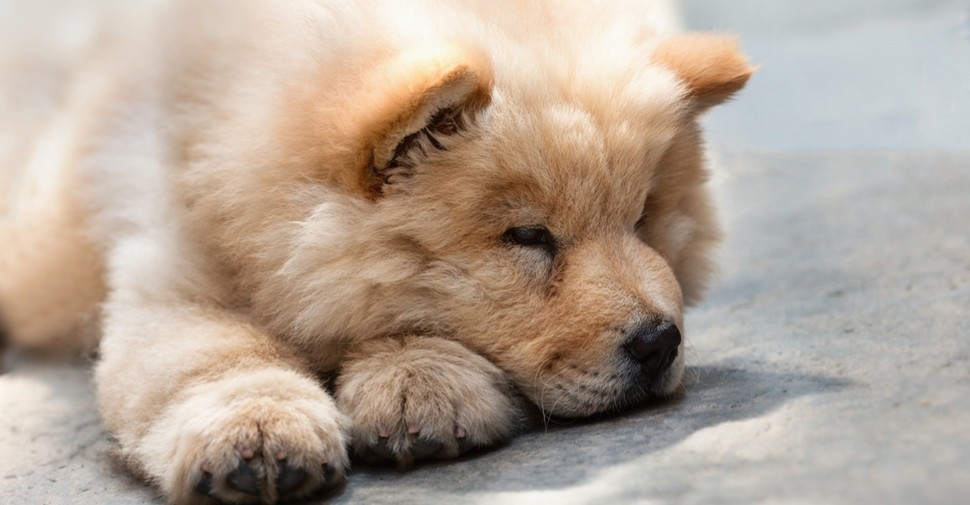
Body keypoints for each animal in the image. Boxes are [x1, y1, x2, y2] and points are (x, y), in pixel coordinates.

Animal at [0, 0, 752, 502]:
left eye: (642, 219)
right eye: (528, 236)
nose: (658, 342)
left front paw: (420, 386)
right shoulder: (169, 252)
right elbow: (211, 353)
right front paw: (259, 434)